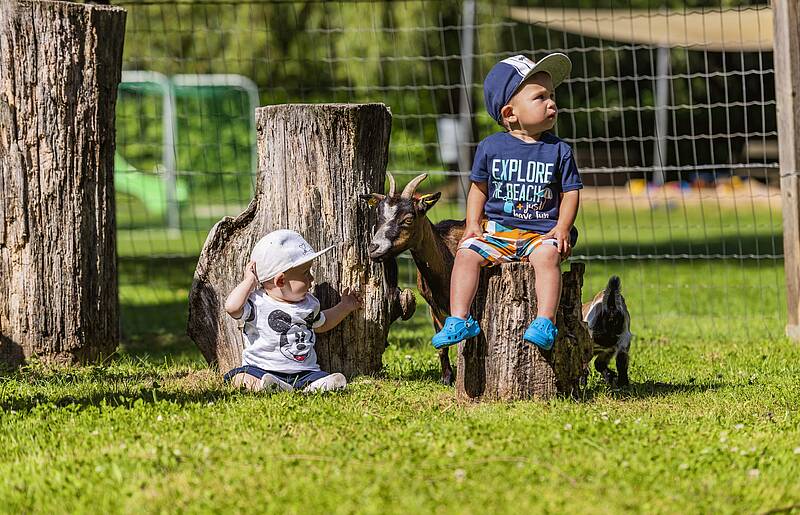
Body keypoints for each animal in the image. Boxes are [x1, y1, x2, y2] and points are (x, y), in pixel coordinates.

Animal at [360, 174, 466, 388]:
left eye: (408, 219)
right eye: (378, 216)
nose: (374, 248)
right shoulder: (434, 307)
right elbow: (442, 345)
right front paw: (446, 379)